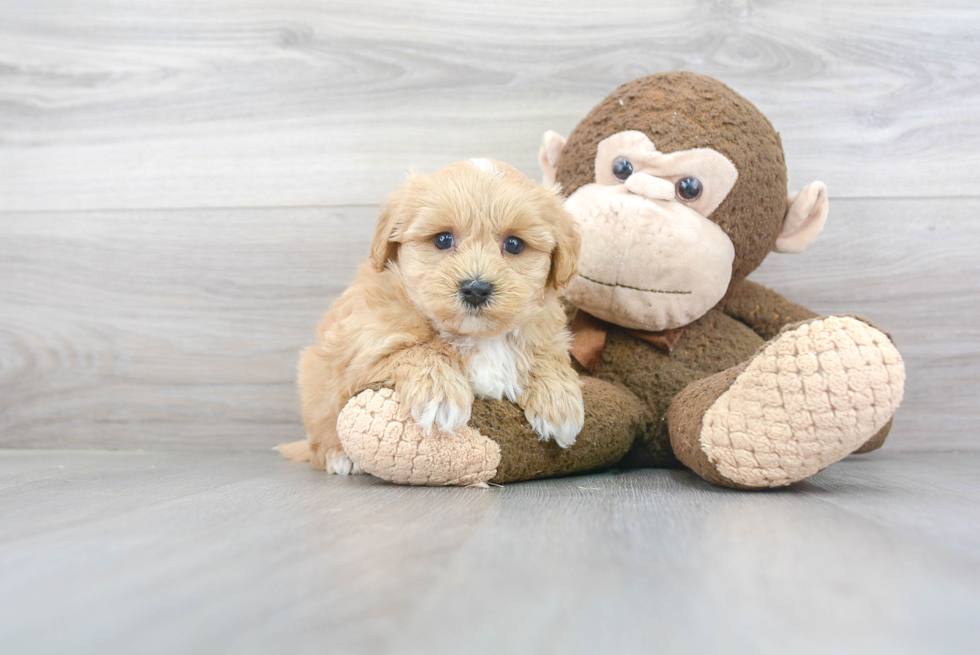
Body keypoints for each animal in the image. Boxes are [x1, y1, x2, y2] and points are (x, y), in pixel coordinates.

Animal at [284, 159, 588, 476]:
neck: (477, 336)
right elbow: (414, 350)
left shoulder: (547, 330)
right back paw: (338, 456)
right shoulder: (364, 344)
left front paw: (560, 403)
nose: (476, 289)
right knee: (320, 435)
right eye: (443, 239)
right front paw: (440, 395)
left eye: (514, 244)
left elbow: (548, 356)